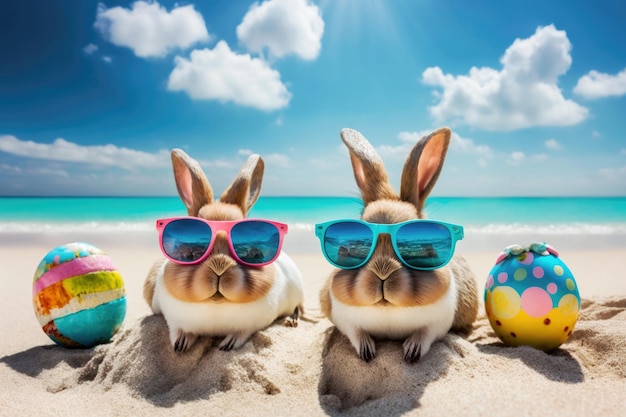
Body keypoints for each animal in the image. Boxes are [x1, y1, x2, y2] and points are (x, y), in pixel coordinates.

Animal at [144, 150, 304, 352]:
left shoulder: (253, 323)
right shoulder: (173, 320)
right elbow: (178, 330)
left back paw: (291, 320)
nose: (219, 268)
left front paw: (229, 343)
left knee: (297, 308)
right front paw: (181, 343)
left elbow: (242, 332)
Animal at [320, 127, 476, 360]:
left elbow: (426, 334)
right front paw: (366, 350)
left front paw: (412, 351)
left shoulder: (439, 322)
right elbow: (355, 332)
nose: (383, 273)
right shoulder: (344, 319)